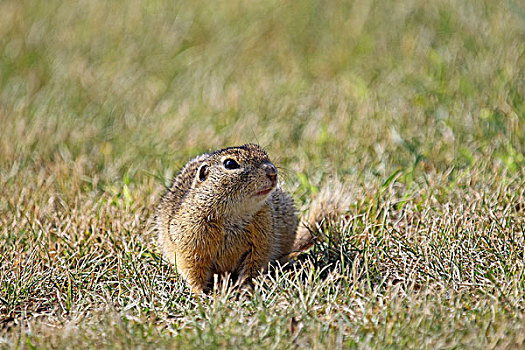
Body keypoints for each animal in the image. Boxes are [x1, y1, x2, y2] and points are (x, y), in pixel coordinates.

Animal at [155, 143, 298, 292]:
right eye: (230, 164)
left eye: (262, 151)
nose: (272, 171)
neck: (234, 214)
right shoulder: (190, 246)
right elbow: (193, 271)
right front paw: (200, 292)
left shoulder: (262, 240)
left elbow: (253, 266)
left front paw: (245, 285)